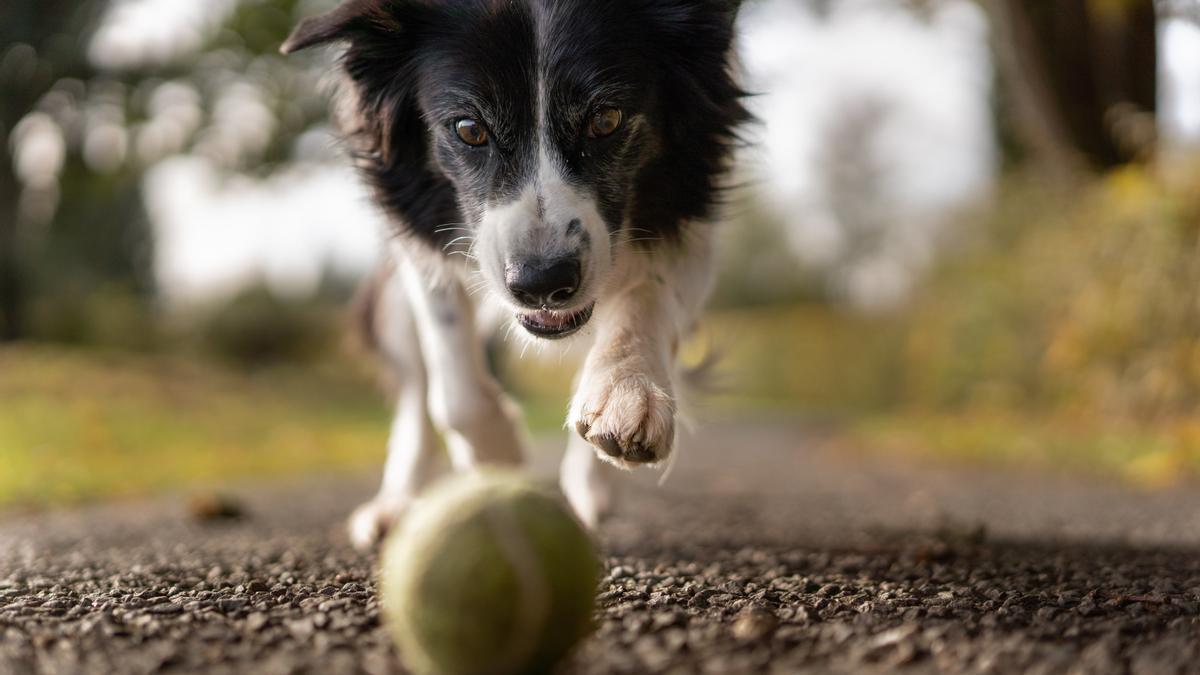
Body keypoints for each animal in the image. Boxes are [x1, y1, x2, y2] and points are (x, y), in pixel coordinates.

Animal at [283, 0, 748, 547]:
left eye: (606, 119)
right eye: (469, 129)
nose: (542, 283)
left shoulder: (692, 210)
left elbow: (646, 297)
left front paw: (625, 393)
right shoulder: (419, 237)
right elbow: (453, 388)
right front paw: (499, 459)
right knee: (416, 391)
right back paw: (395, 506)